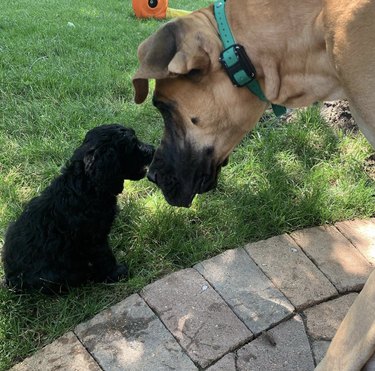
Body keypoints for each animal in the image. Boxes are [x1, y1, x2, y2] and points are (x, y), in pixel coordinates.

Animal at [1, 124, 154, 294]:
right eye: (133, 144)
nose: (152, 149)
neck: (86, 184)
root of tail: (10, 281)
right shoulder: (94, 239)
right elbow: (104, 256)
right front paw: (117, 273)